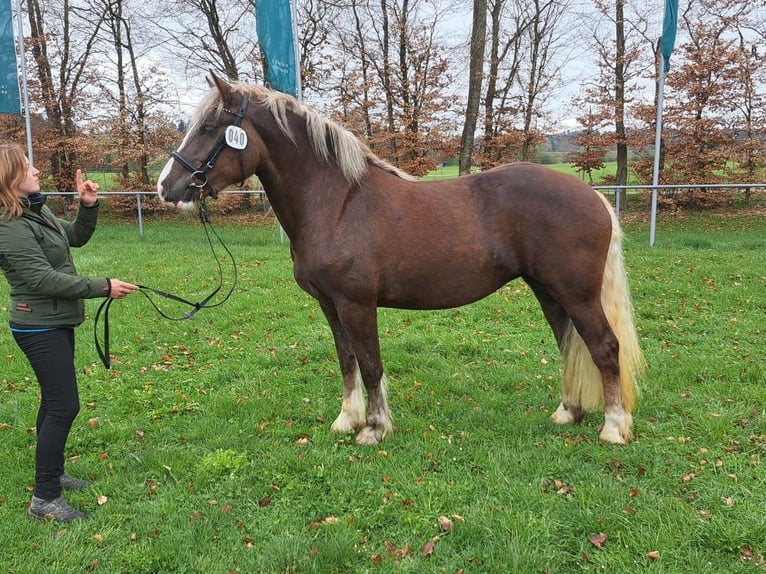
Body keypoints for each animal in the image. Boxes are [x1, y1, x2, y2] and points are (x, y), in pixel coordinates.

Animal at [157, 72, 644, 446]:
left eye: (209, 128)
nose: (167, 186)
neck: (336, 203)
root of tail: (595, 198)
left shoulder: (357, 304)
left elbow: (370, 363)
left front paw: (374, 428)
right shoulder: (329, 305)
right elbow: (347, 361)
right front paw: (346, 419)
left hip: (576, 294)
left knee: (604, 347)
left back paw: (613, 428)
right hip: (548, 291)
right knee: (570, 345)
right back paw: (568, 412)